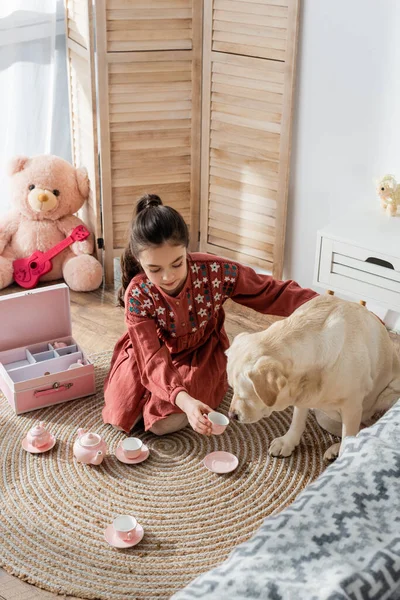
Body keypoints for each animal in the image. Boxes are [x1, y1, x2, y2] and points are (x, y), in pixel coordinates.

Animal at [227, 296, 398, 460]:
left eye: (244, 395)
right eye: (232, 388)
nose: (232, 415)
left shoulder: (352, 406)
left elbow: (348, 434)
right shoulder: (303, 395)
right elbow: (297, 420)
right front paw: (287, 442)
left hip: (388, 395)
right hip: (325, 418)